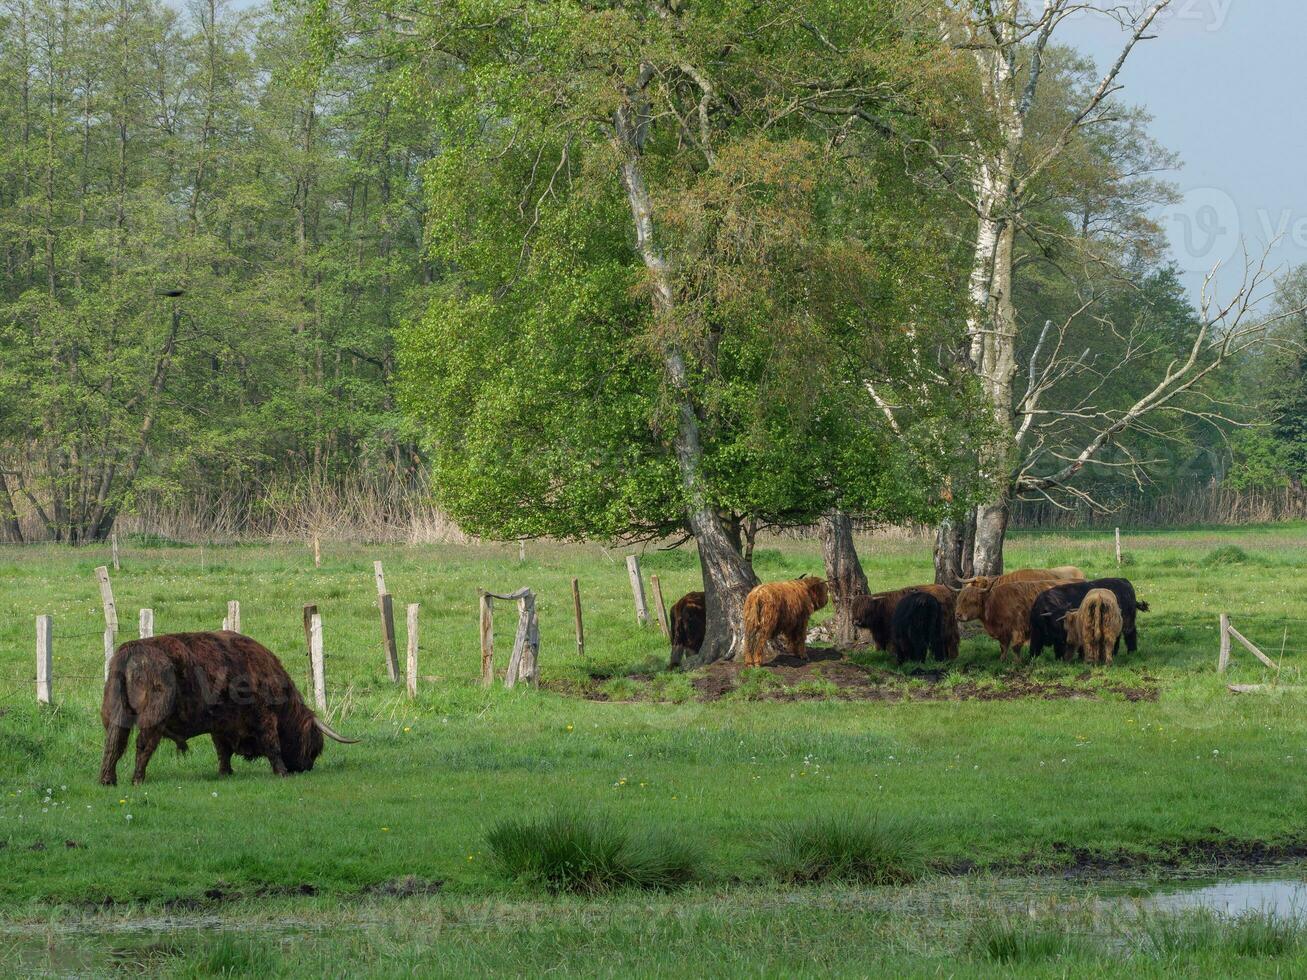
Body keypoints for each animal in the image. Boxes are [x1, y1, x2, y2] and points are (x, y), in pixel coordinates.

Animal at [100, 632, 358, 789]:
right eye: (314, 746)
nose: (305, 768)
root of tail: (132, 649)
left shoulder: (220, 725)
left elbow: (222, 751)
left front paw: (226, 772)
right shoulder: (264, 716)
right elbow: (272, 745)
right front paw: (281, 772)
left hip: (117, 713)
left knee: (114, 744)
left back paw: (107, 780)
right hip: (154, 717)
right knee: (143, 746)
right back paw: (137, 779)